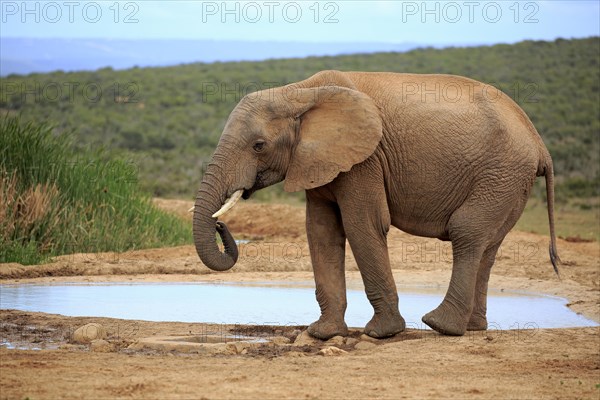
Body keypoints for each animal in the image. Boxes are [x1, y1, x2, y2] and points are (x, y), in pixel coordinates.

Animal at [191, 70, 556, 340]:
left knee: (466, 232)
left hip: (502, 173)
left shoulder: (365, 160)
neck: (300, 92)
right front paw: (323, 333)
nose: (220, 223)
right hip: (509, 182)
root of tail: (540, 143)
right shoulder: (317, 160)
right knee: (488, 245)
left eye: (259, 145)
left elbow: (361, 224)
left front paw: (382, 333)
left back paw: (441, 326)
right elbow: (321, 231)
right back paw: (473, 327)